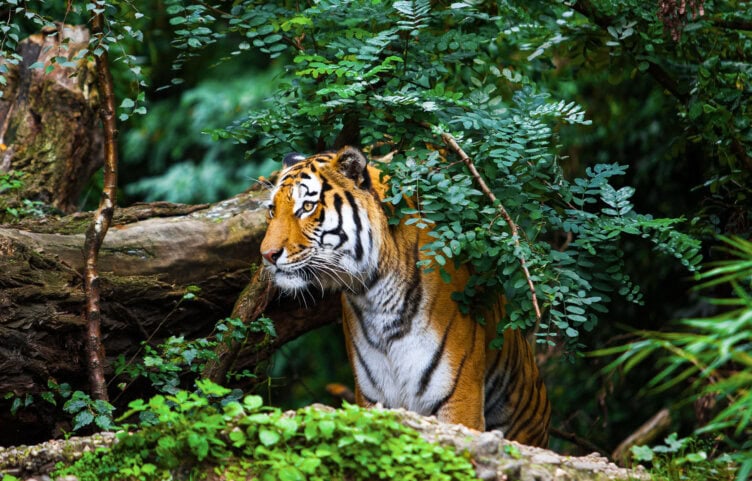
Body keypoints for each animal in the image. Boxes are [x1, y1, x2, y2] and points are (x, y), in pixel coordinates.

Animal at [260, 146, 551, 447]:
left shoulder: (459, 397)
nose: (267, 255)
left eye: (307, 207)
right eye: (272, 210)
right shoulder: (373, 396)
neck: (374, 295)